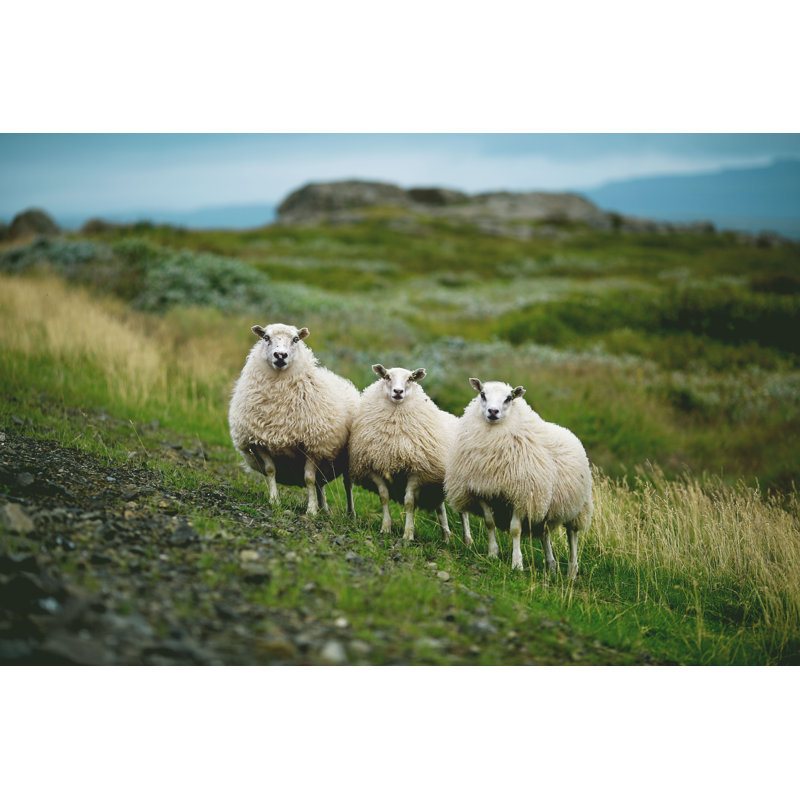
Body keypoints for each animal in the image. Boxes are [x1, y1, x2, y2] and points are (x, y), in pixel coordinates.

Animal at [228, 322, 360, 516]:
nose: (280, 355)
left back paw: (350, 513)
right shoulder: (258, 441)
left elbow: (309, 479)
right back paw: (324, 508)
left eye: (296, 339)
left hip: (346, 457)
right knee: (321, 483)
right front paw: (274, 501)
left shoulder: (313, 446)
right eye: (266, 337)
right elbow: (270, 470)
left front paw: (311, 510)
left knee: (347, 483)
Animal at [348, 364, 473, 544]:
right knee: (440, 509)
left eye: (410, 379)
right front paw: (386, 528)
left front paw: (408, 534)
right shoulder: (375, 468)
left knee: (463, 512)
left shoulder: (416, 471)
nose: (398, 391)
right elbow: (383, 497)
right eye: (387, 377)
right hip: (436, 485)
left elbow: (409, 502)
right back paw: (446, 538)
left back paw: (468, 541)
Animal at [444, 378, 592, 576]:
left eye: (508, 398)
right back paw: (551, 565)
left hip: (578, 506)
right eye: (482, 394)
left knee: (572, 535)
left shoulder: (521, 495)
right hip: (544, 504)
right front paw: (493, 554)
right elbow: (489, 523)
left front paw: (517, 564)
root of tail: (569, 432)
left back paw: (571, 571)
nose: (493, 412)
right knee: (545, 533)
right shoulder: (482, 490)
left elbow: (515, 530)